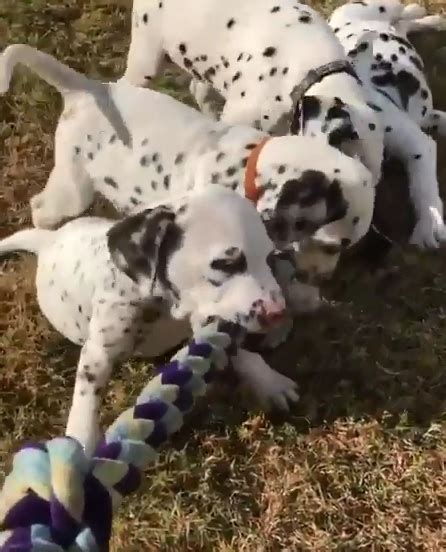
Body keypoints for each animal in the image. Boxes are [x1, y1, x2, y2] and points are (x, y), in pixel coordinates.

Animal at [0, 44, 374, 306]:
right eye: (329, 246)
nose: (323, 278)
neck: (247, 164)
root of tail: (89, 89)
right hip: (73, 189)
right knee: (42, 207)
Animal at [0, 188, 296, 454]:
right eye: (226, 263)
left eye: (269, 259)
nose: (278, 313)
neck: (163, 308)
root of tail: (49, 240)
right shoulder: (98, 355)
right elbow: (86, 403)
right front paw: (79, 447)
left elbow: (240, 352)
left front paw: (270, 382)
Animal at [328, 0, 446, 246]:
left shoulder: (418, 145)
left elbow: (422, 186)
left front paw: (428, 227)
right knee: (404, 25)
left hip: (380, 7)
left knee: (401, 13)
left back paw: (421, 12)